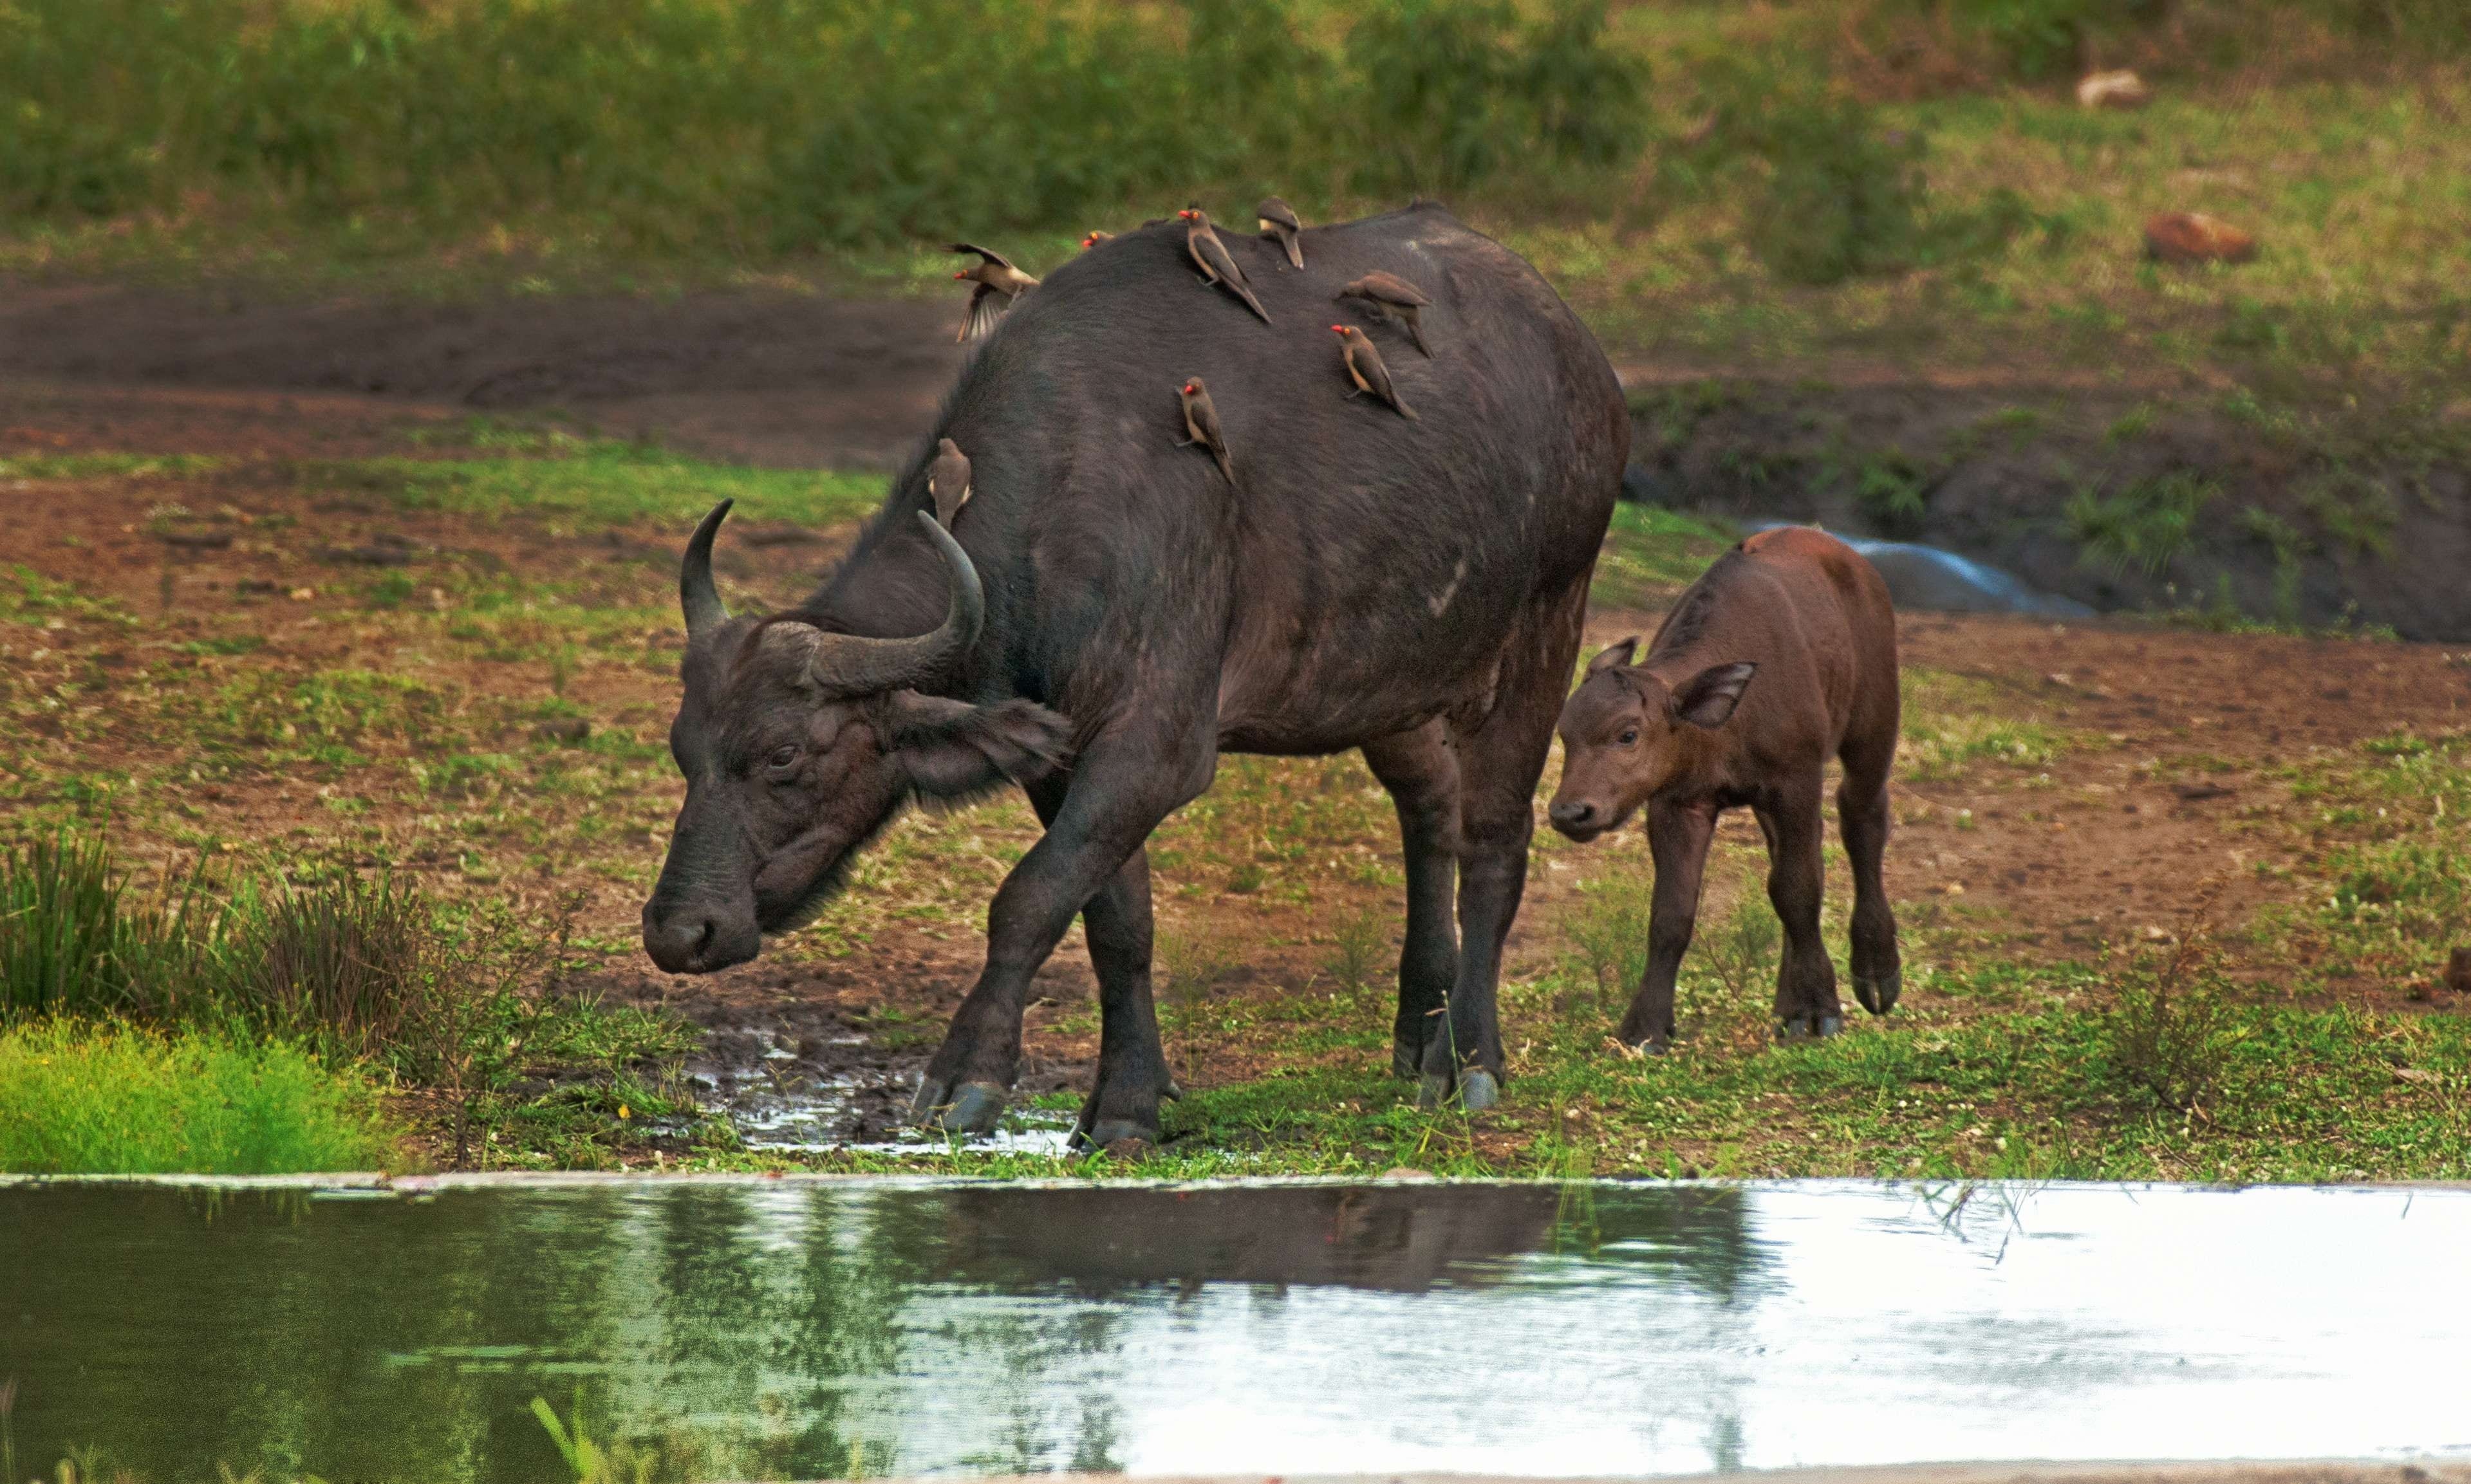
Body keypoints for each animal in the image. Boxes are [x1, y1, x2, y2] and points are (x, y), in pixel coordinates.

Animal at [642, 203, 1628, 1146]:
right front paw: (1125, 1102)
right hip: (1391, 679)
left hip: (1547, 622)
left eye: (783, 756)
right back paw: (1418, 1029)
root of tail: (1578, 352)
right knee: (1428, 809)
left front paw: (965, 1077)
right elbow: (1114, 921)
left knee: (1493, 839)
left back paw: (1466, 1060)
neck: (1059, 503)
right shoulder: (1060, 755)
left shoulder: (1154, 747)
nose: (679, 931)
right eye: (685, 751)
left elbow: (1028, 897)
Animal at [1547, 526, 1902, 1050]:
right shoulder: (1677, 803)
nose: (1570, 812)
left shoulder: (1795, 781)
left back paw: (1876, 971)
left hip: (1872, 726)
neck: (1725, 723)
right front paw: (1646, 1026)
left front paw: (1817, 1008)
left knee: (1862, 818)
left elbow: (1796, 888)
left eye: (1627, 734)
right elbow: (1671, 913)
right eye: (1564, 734)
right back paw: (1786, 1001)